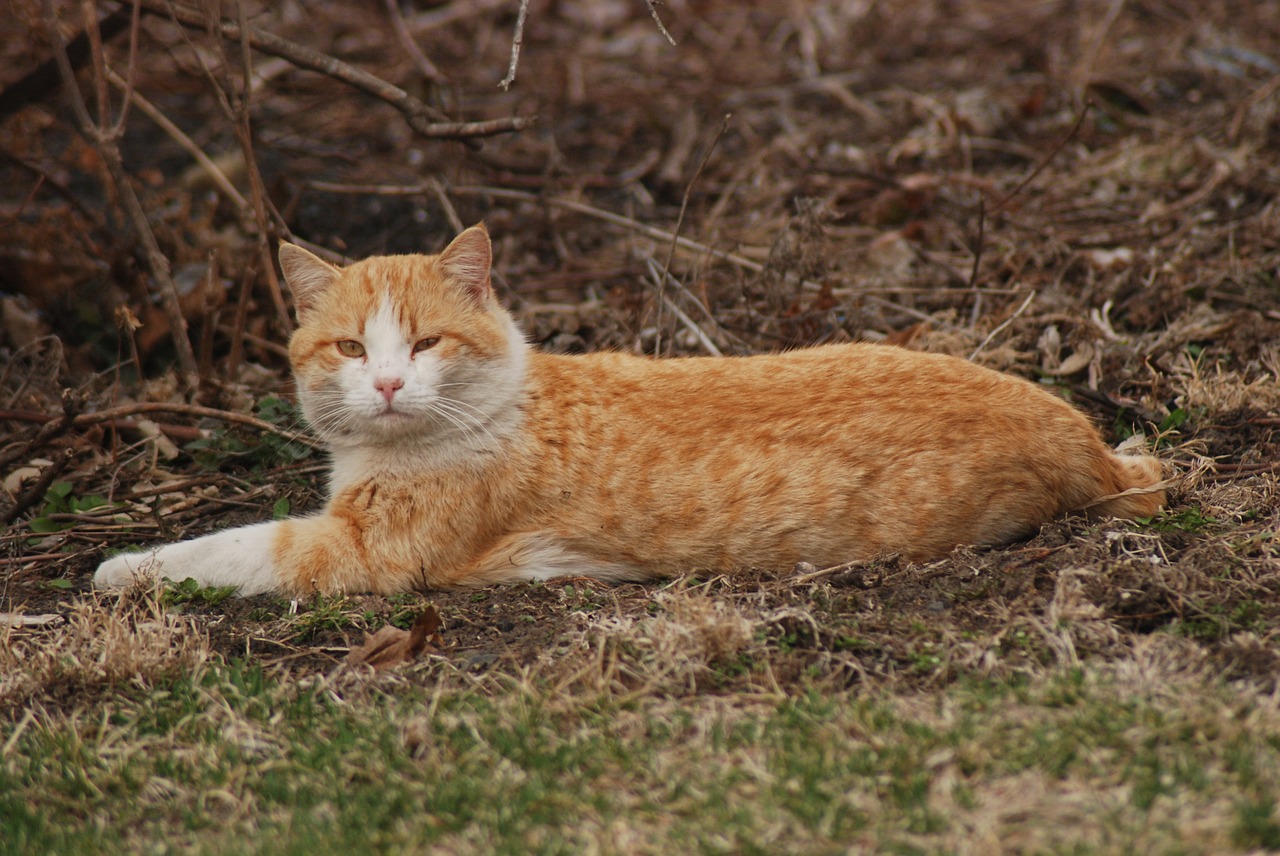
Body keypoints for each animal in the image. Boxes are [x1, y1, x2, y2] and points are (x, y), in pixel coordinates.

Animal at [94, 220, 1167, 593]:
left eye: (426, 344)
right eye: (354, 349)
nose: (390, 384)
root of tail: (1091, 448)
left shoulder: (361, 555)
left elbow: (230, 547)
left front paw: (118, 569)